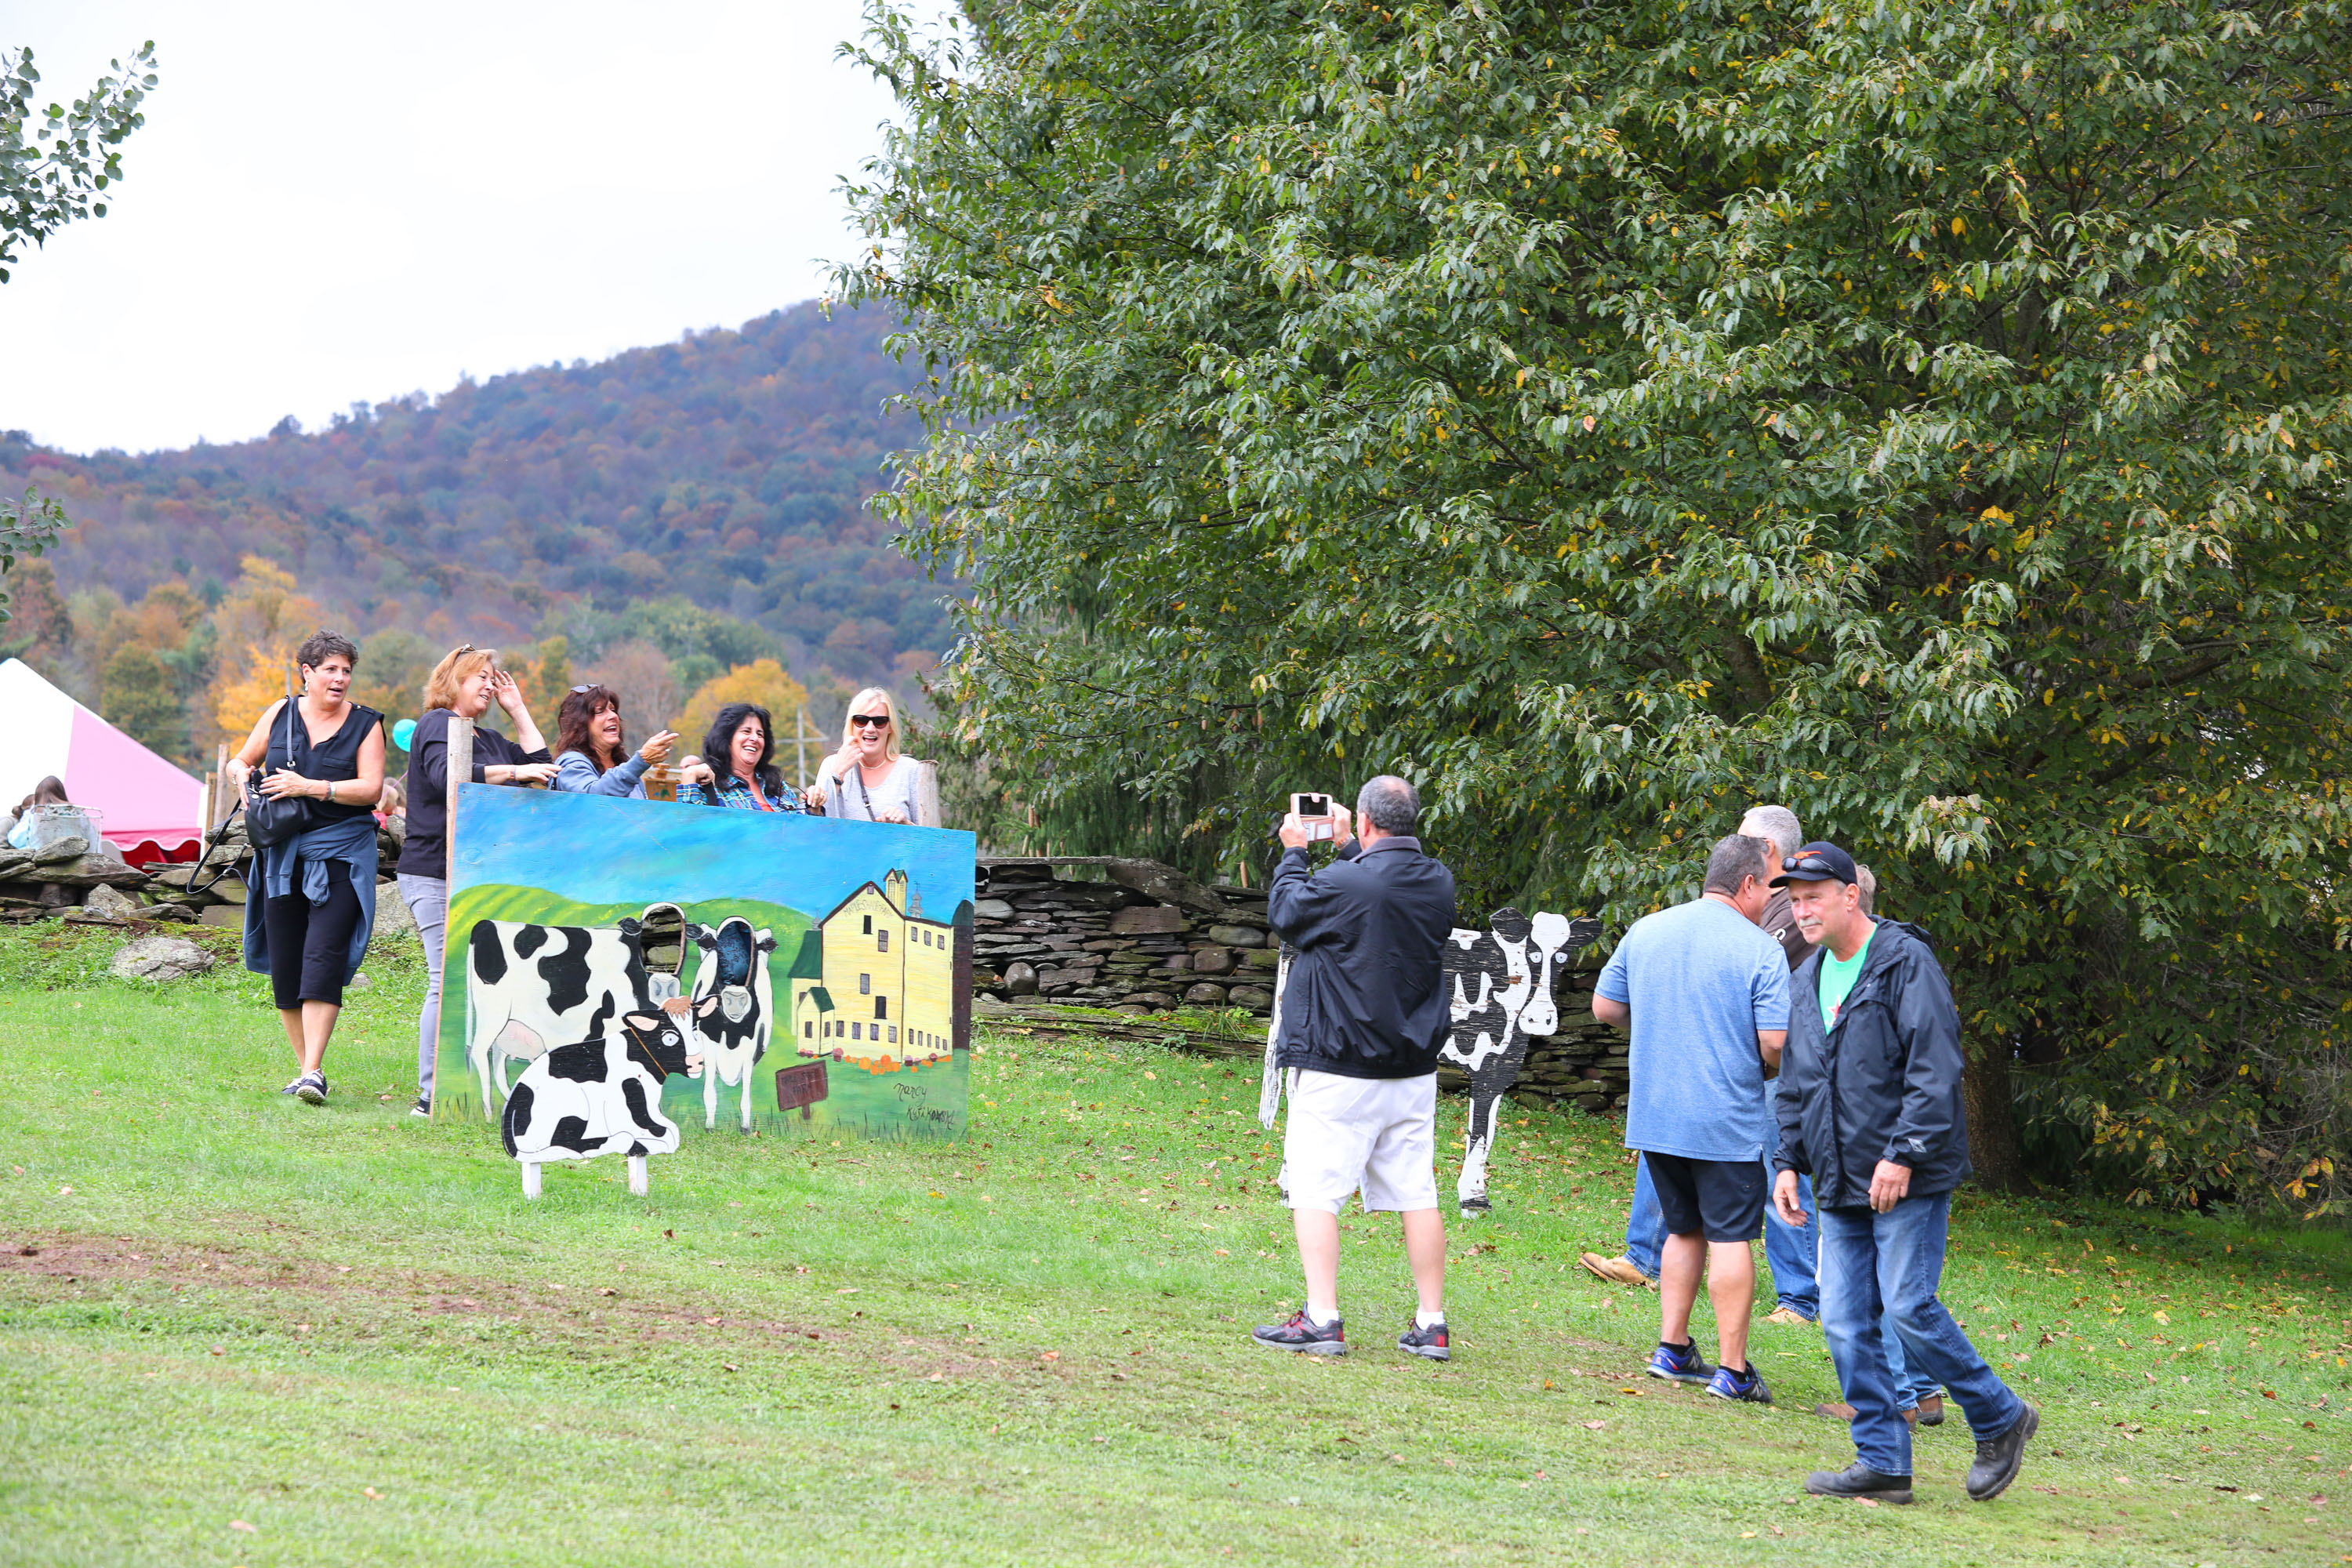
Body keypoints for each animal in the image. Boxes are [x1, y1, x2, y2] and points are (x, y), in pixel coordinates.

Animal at [463, 917, 663, 1120]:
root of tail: (486, 923)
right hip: (494, 1011)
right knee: (480, 1052)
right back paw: (489, 1115)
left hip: (506, 1024)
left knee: (498, 1062)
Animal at [501, 1011, 703, 1199]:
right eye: (669, 1038)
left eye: (695, 1032)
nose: (697, 1061)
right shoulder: (627, 1096)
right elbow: (661, 1131)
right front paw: (652, 1140)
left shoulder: (649, 1102)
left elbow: (664, 1126)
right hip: (573, 1103)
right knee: (570, 1142)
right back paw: (623, 1140)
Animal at [684, 918, 777, 1131]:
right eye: (714, 947)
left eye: (755, 950)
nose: (735, 999)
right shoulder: (709, 1043)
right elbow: (709, 1092)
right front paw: (709, 1127)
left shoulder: (751, 1046)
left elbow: (746, 1098)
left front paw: (746, 1128)